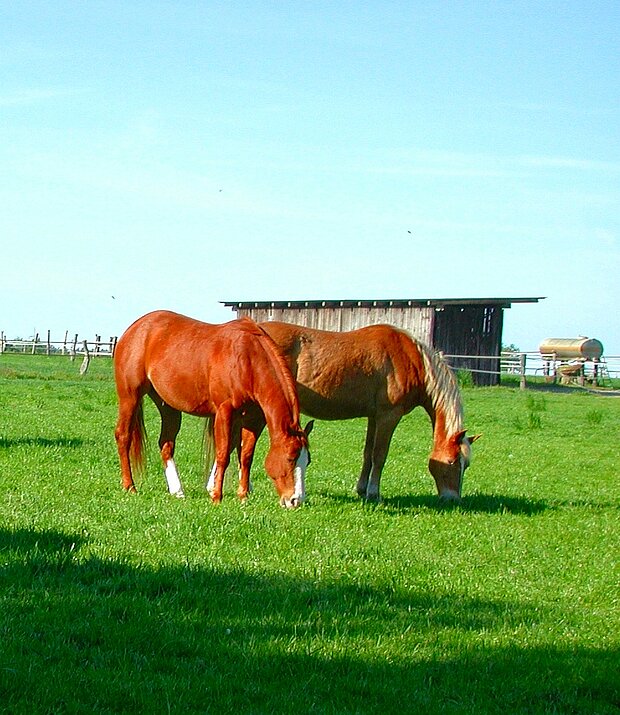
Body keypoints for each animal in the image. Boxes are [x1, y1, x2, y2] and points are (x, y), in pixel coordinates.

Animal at [113, 311, 311, 508]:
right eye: (290, 458)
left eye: (307, 460)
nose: (295, 500)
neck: (247, 358)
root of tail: (135, 327)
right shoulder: (224, 412)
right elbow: (223, 455)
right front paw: (216, 496)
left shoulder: (253, 419)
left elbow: (246, 456)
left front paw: (243, 496)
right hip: (130, 397)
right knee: (123, 436)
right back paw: (129, 486)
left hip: (167, 406)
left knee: (166, 443)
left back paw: (177, 491)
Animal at [237, 321, 479, 502]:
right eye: (452, 462)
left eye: (466, 465)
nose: (452, 499)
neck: (411, 359)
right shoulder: (389, 416)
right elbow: (380, 455)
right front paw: (374, 493)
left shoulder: (374, 416)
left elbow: (368, 454)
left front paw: (362, 489)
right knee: (247, 447)